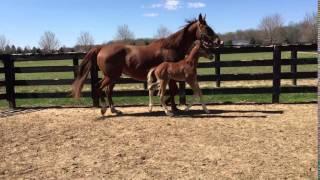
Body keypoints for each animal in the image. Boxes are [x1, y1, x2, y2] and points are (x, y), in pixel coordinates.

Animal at [72, 13, 222, 115]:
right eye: (207, 28)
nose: (218, 41)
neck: (171, 47)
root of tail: (101, 48)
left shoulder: (169, 76)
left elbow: (171, 91)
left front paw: (170, 106)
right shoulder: (170, 76)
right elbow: (173, 90)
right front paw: (171, 108)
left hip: (113, 77)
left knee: (108, 91)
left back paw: (115, 110)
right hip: (111, 76)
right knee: (99, 88)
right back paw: (104, 110)